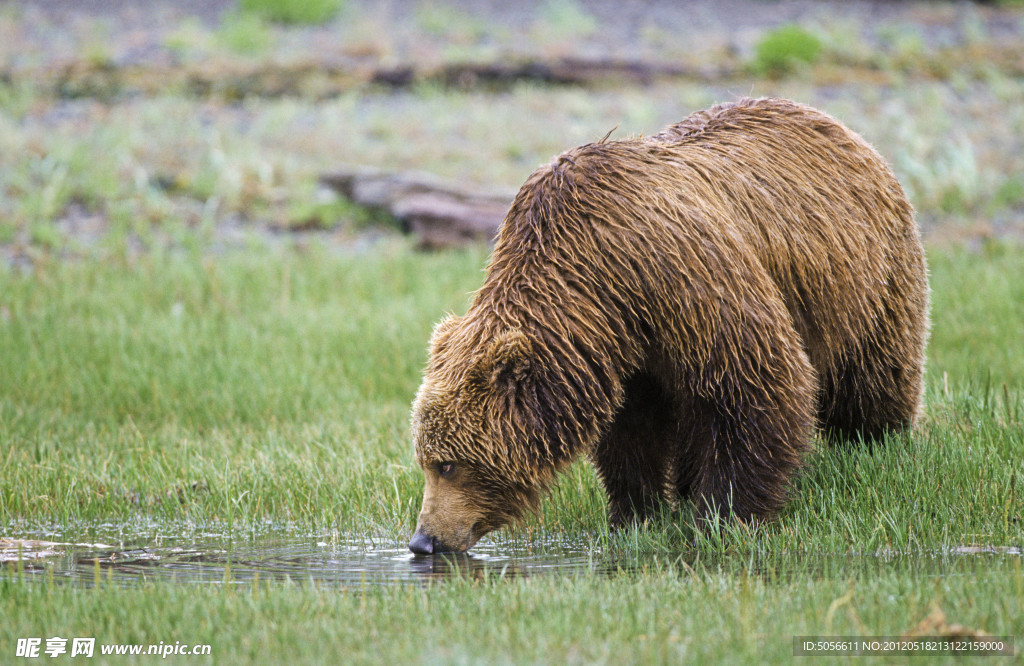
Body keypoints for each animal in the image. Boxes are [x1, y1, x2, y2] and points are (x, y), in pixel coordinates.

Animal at [405, 95, 929, 553]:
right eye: (424, 459)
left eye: (448, 465)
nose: (424, 540)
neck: (594, 282)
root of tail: (838, 126)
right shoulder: (622, 349)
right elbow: (631, 431)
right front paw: (637, 514)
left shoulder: (682, 280)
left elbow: (753, 384)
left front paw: (723, 515)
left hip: (865, 280)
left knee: (871, 373)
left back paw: (875, 442)